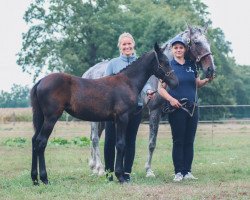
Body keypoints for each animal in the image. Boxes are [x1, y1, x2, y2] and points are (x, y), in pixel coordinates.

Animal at [30, 42, 178, 184]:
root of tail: (40, 81)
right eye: (165, 62)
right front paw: (120, 176)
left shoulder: (118, 120)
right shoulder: (122, 118)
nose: (175, 82)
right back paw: (44, 178)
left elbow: (120, 145)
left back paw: (35, 178)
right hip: (51, 118)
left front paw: (118, 175)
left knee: (34, 141)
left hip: (42, 118)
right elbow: (120, 144)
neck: (127, 82)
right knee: (41, 142)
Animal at [81, 25, 215, 177]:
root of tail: (88, 73)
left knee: (94, 137)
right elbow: (152, 143)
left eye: (208, 42)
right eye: (197, 43)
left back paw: (94, 167)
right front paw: (149, 170)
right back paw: (100, 168)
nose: (211, 70)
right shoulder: (154, 112)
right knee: (95, 139)